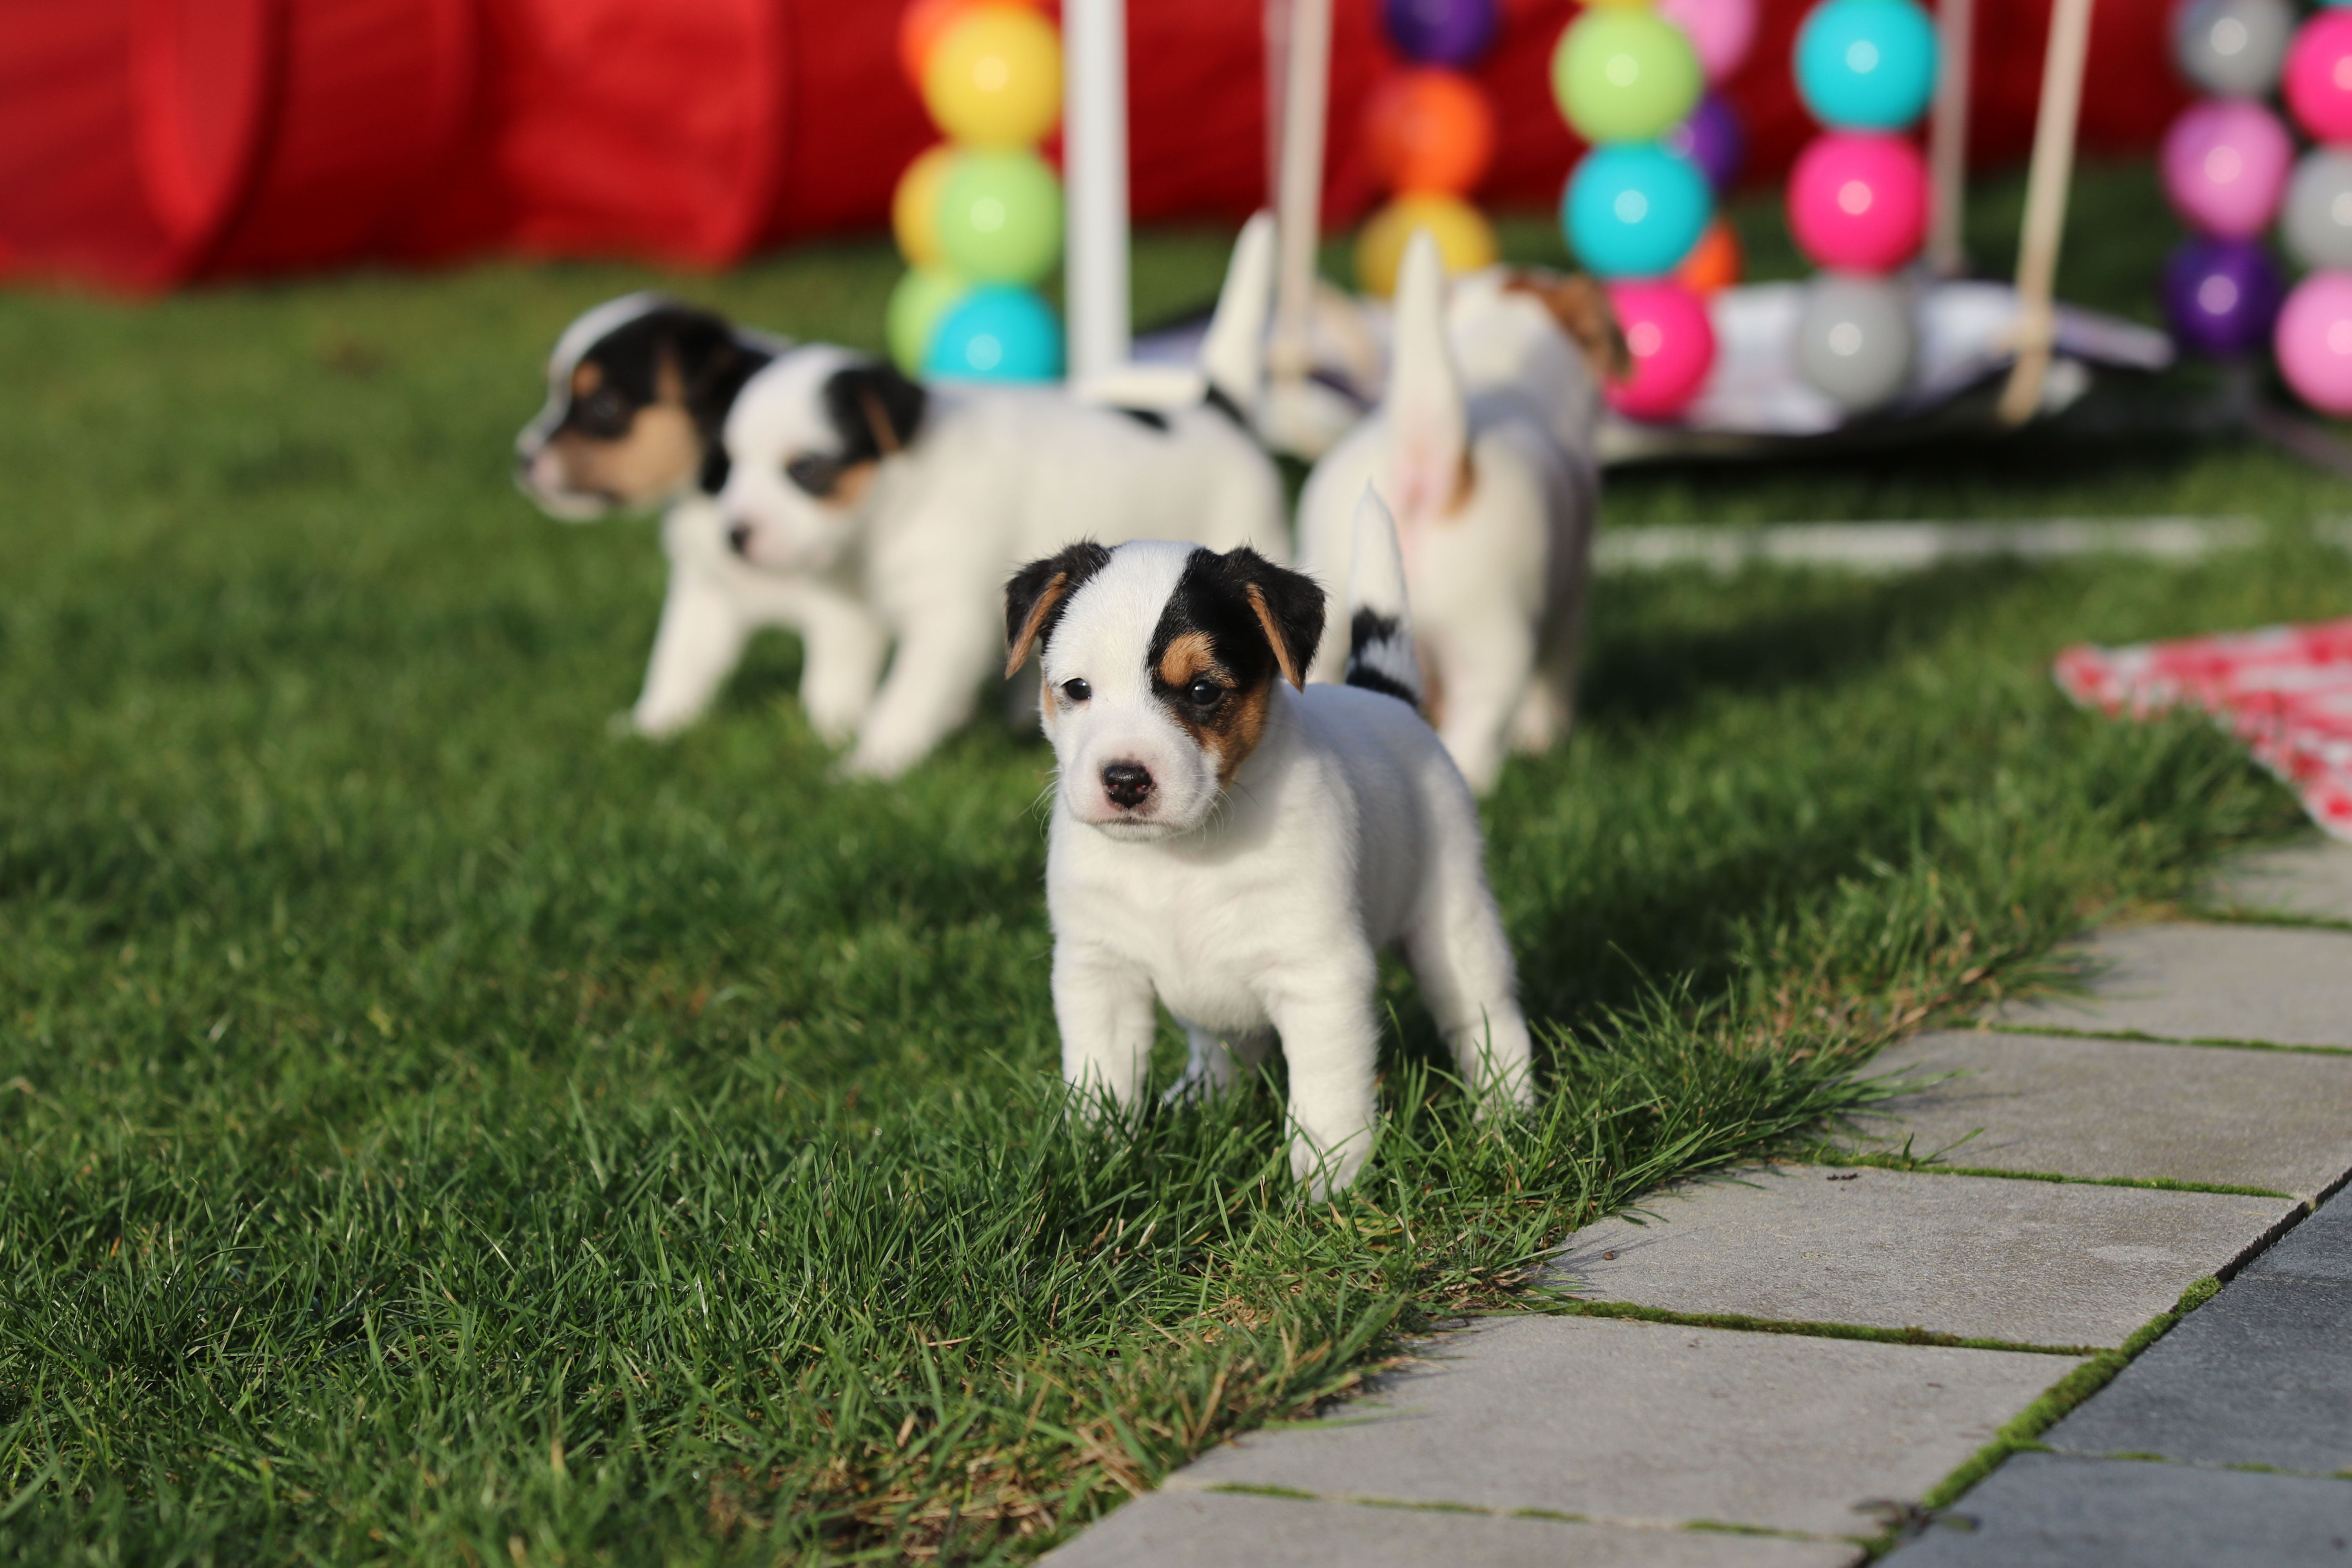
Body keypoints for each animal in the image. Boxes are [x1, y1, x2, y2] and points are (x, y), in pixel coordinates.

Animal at [512, 293, 889, 740]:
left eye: (605, 405)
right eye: (552, 391)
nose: (522, 458)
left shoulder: (844, 610)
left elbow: (832, 685)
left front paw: (833, 740)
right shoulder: (707, 592)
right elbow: (677, 663)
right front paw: (651, 728)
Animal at [717, 219, 1292, 779]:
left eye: (806, 469)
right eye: (729, 463)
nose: (734, 537)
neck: (904, 492)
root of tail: (1217, 408)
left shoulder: (949, 621)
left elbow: (907, 697)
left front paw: (869, 766)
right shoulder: (858, 608)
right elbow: (841, 674)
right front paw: (836, 732)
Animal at [1006, 490, 1533, 1195]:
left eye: (1203, 690)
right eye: (1076, 689)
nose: (1123, 780)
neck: (1183, 854)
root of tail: (1385, 696)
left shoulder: (1321, 977)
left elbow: (1326, 1096)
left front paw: (1328, 1186)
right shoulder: (1099, 972)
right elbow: (1103, 1079)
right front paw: (1092, 1156)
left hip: (1455, 925)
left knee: (1487, 1021)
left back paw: (1507, 1116)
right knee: (1225, 1050)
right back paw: (1197, 1101)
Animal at [1294, 233, 1627, 795]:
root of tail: (1425, 462)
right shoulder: (1571, 594)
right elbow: (1556, 675)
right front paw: (1546, 737)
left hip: (1332, 626)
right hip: (1493, 646)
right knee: (1478, 727)